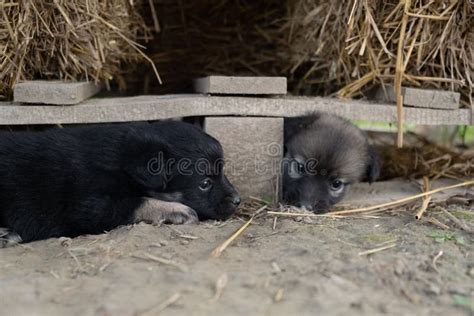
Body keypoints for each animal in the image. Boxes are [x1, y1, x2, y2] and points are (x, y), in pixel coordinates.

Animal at [0, 121, 239, 244]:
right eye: (205, 183)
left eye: (222, 171)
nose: (238, 201)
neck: (121, 161)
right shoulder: (89, 205)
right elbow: (138, 201)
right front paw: (176, 210)